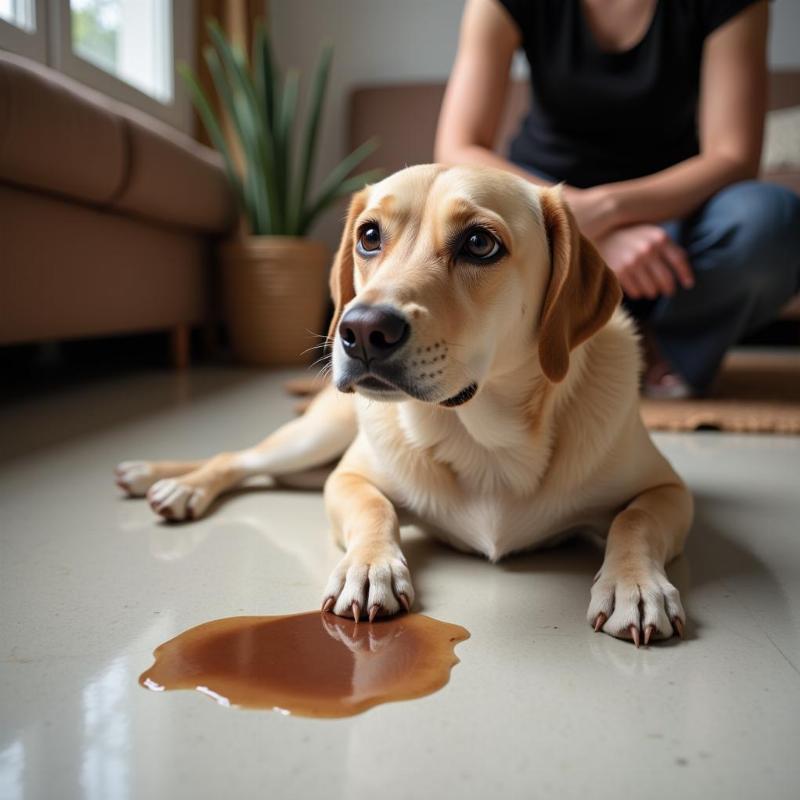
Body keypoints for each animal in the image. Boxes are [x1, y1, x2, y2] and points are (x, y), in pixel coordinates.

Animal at [115, 166, 692, 648]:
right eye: (369, 236)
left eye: (480, 242)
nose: (361, 330)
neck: (487, 436)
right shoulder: (348, 478)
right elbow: (377, 508)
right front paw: (369, 568)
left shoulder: (668, 490)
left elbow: (633, 520)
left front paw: (635, 585)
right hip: (316, 440)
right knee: (236, 459)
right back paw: (171, 482)